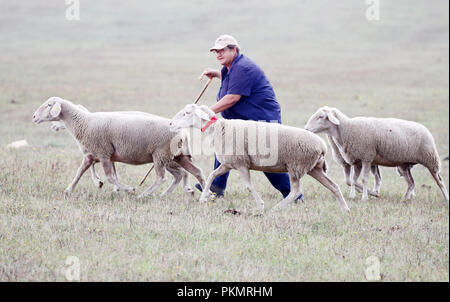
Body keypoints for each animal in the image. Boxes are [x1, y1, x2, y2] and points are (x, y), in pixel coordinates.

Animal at [33, 96, 206, 196]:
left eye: (49, 105)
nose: (34, 116)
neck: (83, 122)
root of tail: (182, 132)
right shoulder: (95, 155)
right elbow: (80, 172)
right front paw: (69, 190)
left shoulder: (103, 153)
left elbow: (110, 177)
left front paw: (128, 189)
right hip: (177, 156)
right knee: (192, 172)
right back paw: (200, 192)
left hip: (161, 155)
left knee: (163, 177)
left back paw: (146, 194)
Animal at [171, 104, 350, 212]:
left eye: (186, 113)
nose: (171, 124)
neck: (217, 128)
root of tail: (322, 145)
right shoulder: (229, 163)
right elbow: (211, 176)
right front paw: (204, 197)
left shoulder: (241, 163)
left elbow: (249, 186)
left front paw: (260, 205)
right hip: (314, 168)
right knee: (333, 186)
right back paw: (345, 209)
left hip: (296, 166)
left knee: (296, 191)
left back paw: (276, 208)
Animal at [304, 106, 448, 203]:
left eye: (321, 117)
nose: (306, 129)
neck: (347, 129)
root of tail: (425, 129)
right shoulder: (357, 161)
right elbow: (353, 180)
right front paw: (364, 194)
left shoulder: (367, 157)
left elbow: (363, 179)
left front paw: (365, 197)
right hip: (404, 165)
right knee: (411, 183)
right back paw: (404, 198)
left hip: (430, 159)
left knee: (439, 181)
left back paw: (446, 198)